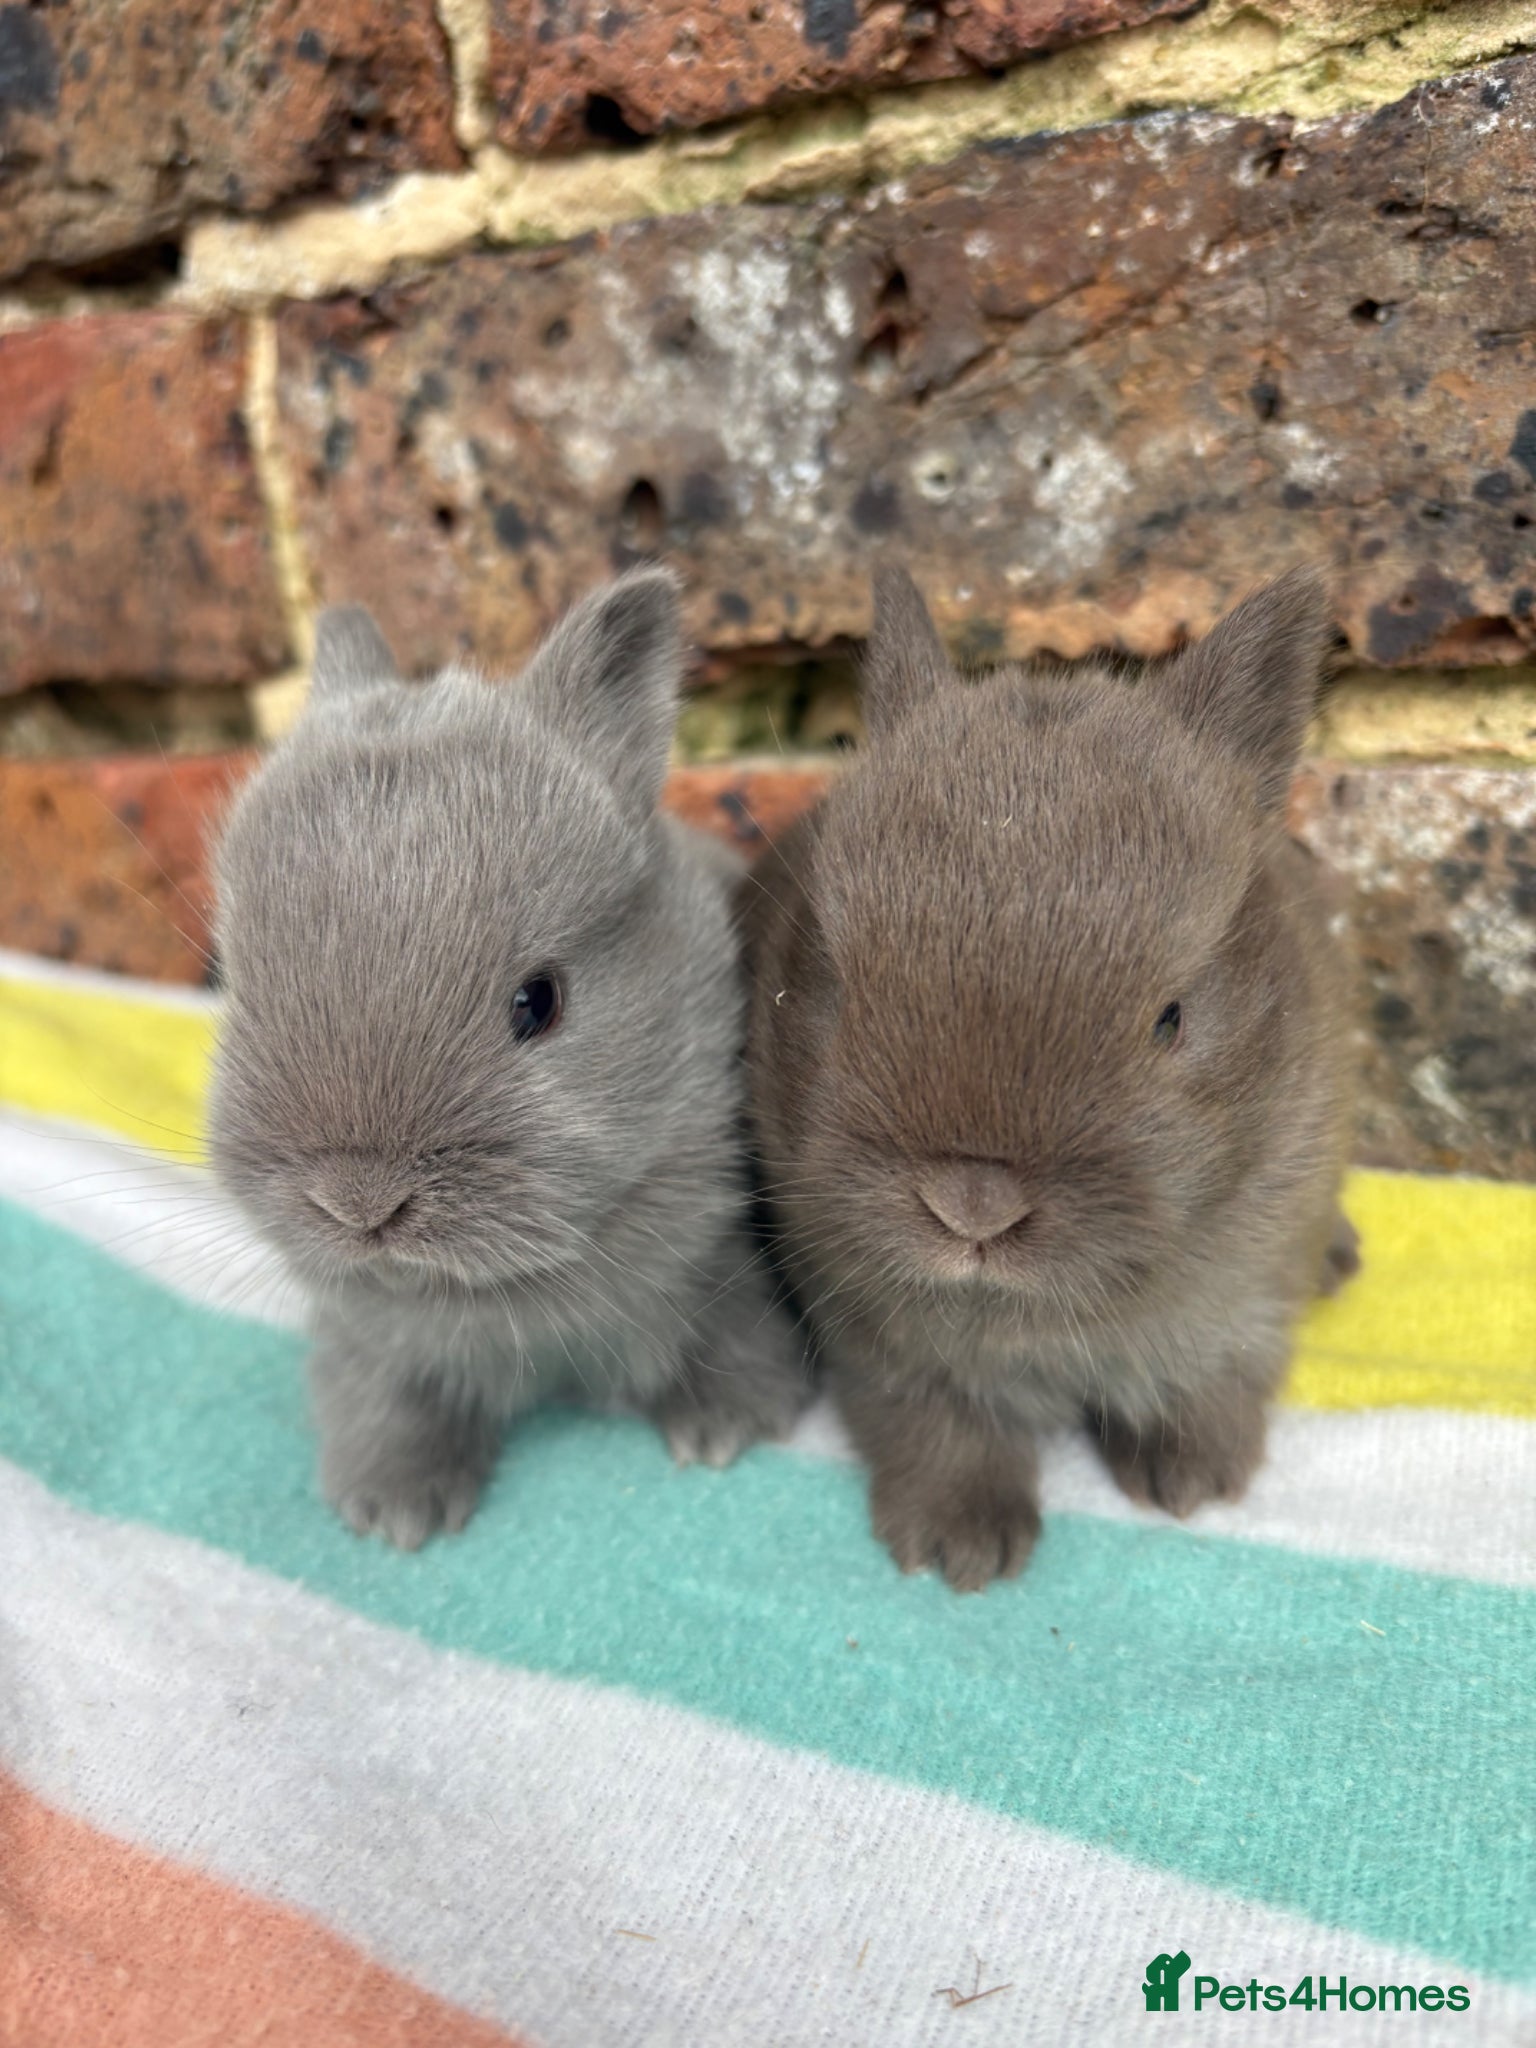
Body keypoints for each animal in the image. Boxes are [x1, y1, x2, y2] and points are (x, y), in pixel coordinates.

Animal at [209, 569, 805, 1548]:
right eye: (230, 981)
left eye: (538, 1002)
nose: (360, 1206)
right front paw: (395, 1510)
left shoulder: (717, 1251)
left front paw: (726, 1429)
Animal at [742, 565, 1358, 1591]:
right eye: (835, 984)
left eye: (1171, 1017)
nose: (972, 1207)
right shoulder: (886, 1343)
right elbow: (936, 1424)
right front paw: (963, 1544)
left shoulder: (1251, 1288)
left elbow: (1213, 1377)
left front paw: (1195, 1480)